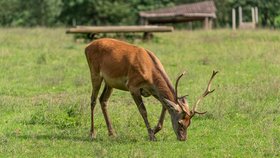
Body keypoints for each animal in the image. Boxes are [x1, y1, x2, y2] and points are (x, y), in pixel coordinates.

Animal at [84, 38, 218, 141]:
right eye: (180, 123)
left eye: (189, 123)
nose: (183, 138)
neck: (150, 72)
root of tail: (87, 47)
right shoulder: (132, 86)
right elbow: (143, 111)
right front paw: (151, 135)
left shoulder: (152, 90)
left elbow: (165, 105)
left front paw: (155, 130)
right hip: (95, 73)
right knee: (93, 100)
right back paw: (92, 133)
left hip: (110, 82)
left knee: (103, 100)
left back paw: (112, 133)